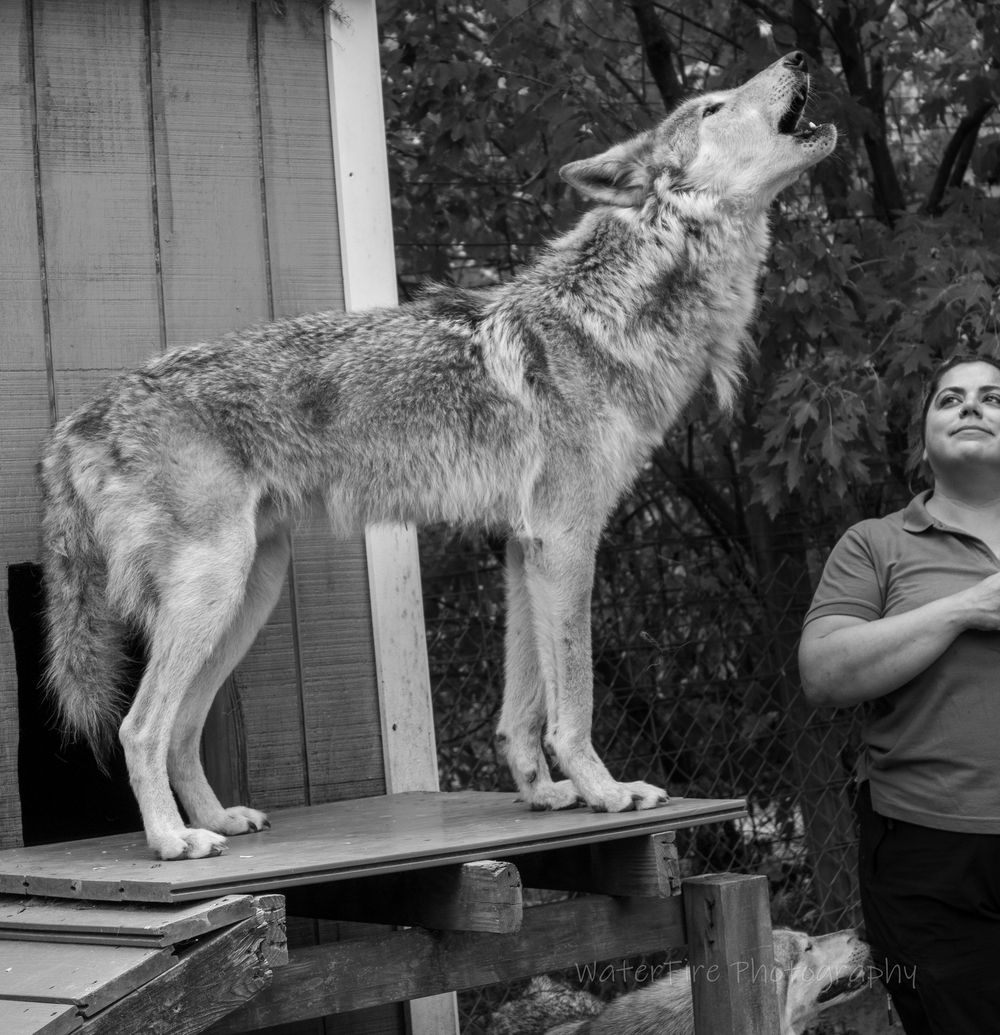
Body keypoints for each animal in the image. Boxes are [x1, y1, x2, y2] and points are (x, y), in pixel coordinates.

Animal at [40, 52, 835, 860]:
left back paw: (220, 820)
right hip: (214, 587)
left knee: (181, 730)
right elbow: (574, 699)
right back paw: (175, 842)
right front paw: (608, 793)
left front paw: (546, 794)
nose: (797, 56)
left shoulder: (523, 547)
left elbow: (522, 707)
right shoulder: (567, 539)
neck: (613, 313)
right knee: (139, 727)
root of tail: (79, 419)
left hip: (247, 593)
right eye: (710, 107)